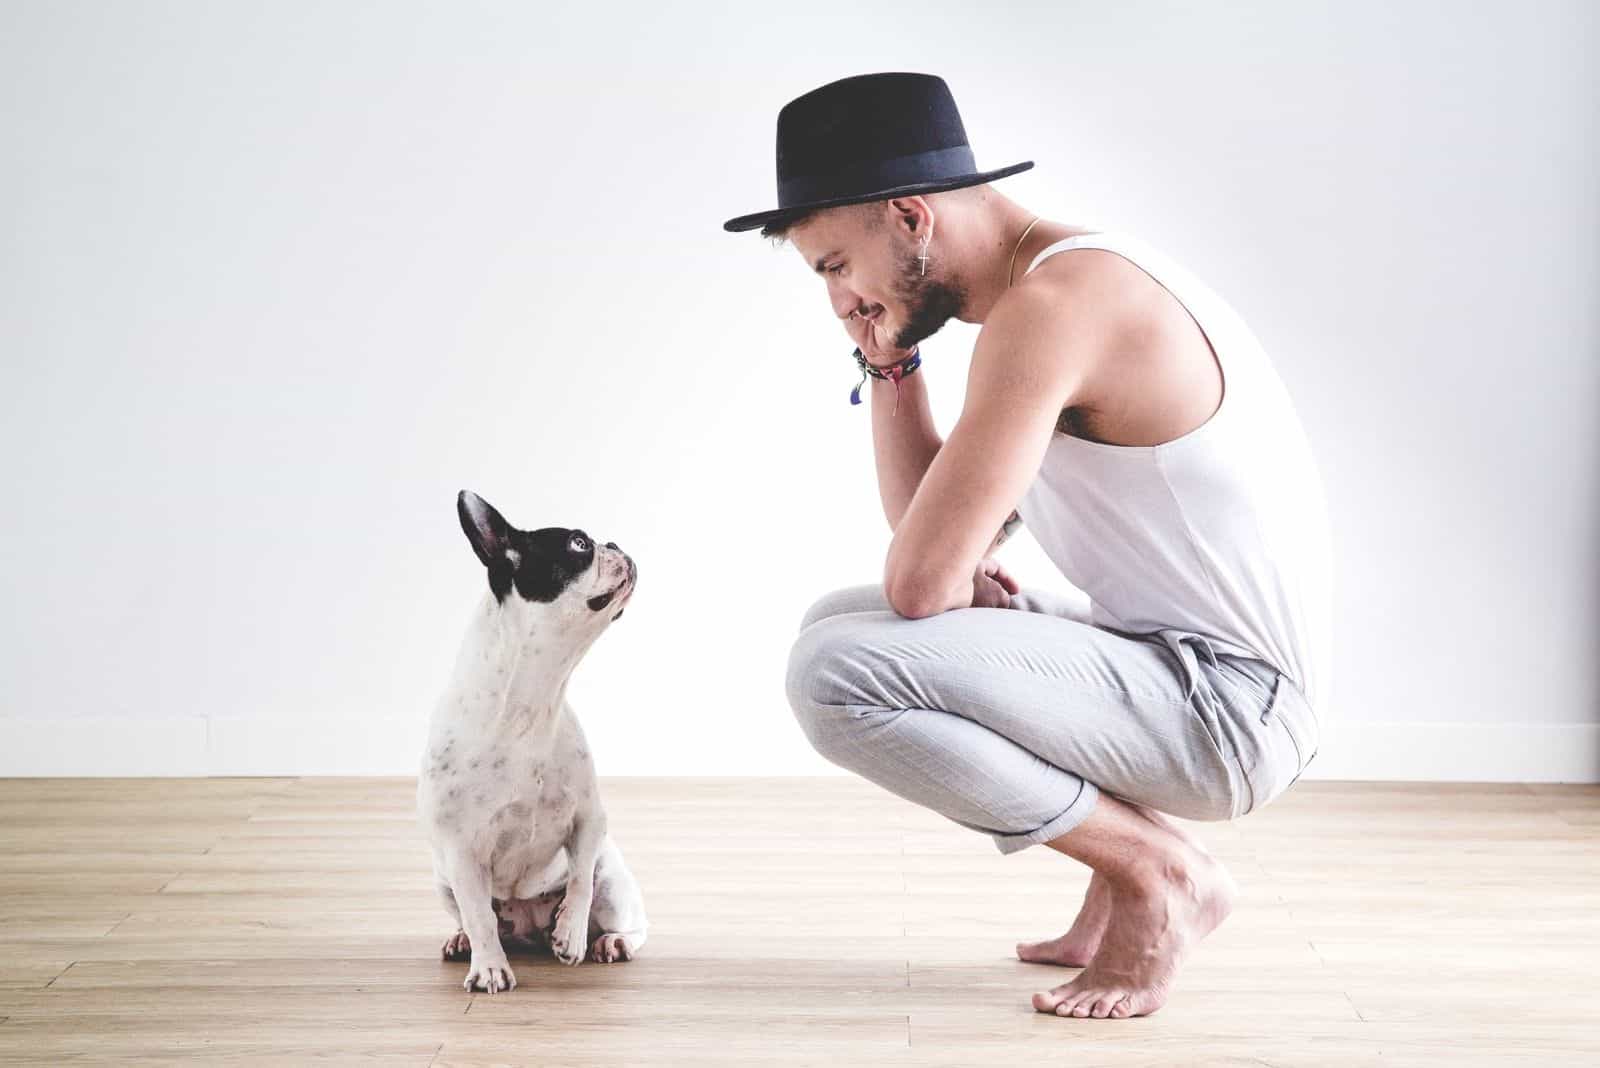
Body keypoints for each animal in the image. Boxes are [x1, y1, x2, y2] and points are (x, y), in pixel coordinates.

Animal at [422, 492, 652, 991]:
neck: (532, 699)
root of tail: (528, 925)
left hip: (614, 880)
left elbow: (580, 880)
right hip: (442, 880)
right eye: (579, 544)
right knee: (477, 917)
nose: (614, 543)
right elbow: (478, 913)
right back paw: (465, 942)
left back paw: (608, 941)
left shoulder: (588, 818)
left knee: (630, 920)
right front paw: (489, 967)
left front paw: (571, 934)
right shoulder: (461, 849)